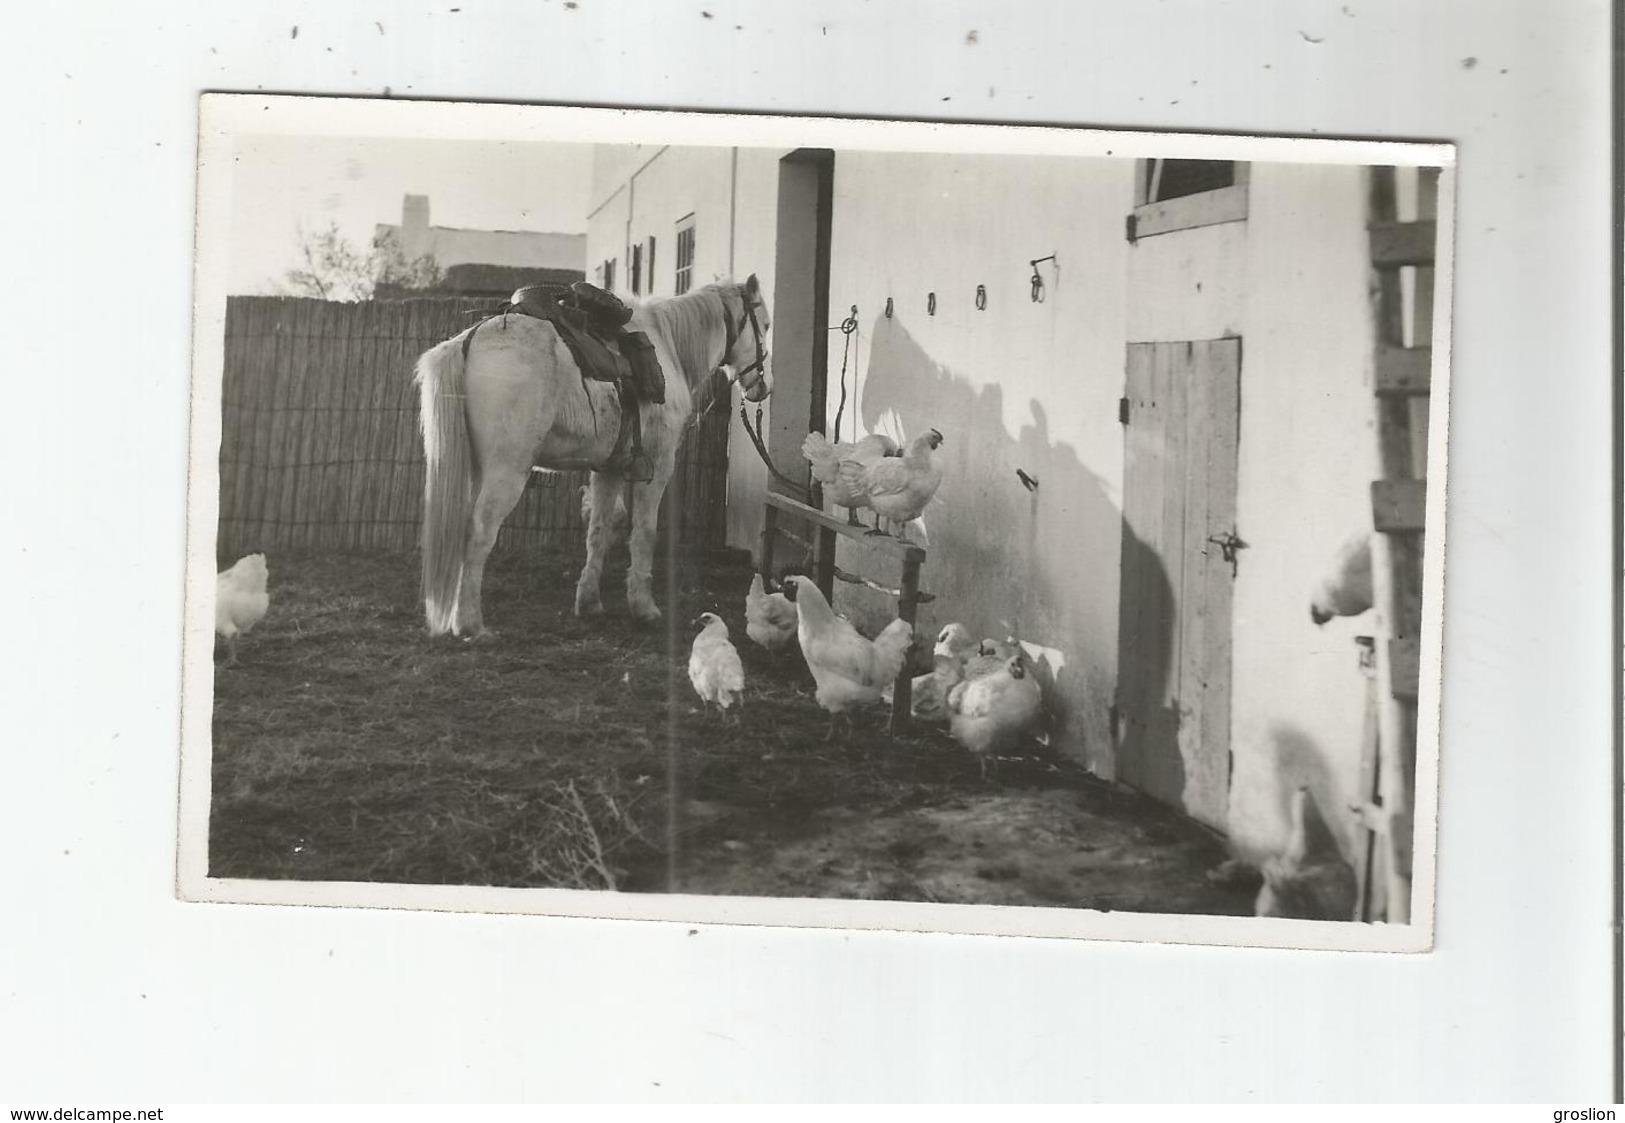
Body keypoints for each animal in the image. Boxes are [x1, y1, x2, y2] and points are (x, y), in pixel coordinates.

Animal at [419, 276, 773, 637]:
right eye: (765, 325)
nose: (763, 387)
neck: (668, 347)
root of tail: (469, 341)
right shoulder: (658, 466)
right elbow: (644, 533)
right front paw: (643, 607)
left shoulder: (609, 469)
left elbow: (599, 531)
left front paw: (589, 602)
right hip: (506, 472)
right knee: (479, 532)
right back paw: (470, 624)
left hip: (479, 469)